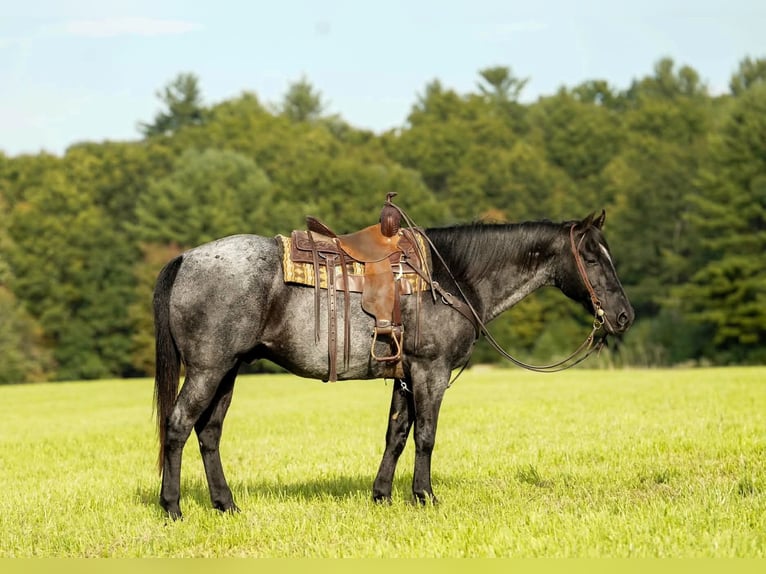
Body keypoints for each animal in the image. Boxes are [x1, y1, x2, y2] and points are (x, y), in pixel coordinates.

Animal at [153, 210, 634, 519]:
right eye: (592, 258)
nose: (624, 315)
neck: (448, 277)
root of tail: (186, 258)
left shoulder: (405, 376)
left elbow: (396, 435)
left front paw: (382, 495)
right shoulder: (430, 371)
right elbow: (425, 436)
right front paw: (425, 496)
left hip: (228, 370)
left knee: (209, 432)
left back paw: (226, 504)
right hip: (208, 369)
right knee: (177, 426)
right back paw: (173, 507)